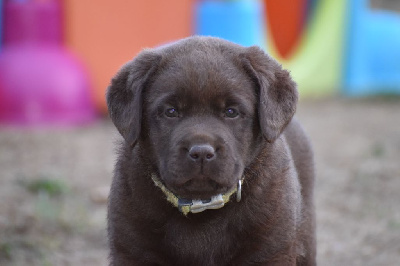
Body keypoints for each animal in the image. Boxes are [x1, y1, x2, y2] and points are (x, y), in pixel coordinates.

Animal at [106, 35, 316, 266]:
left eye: (231, 112)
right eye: (171, 111)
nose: (201, 152)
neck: (201, 204)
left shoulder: (271, 251)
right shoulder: (132, 250)